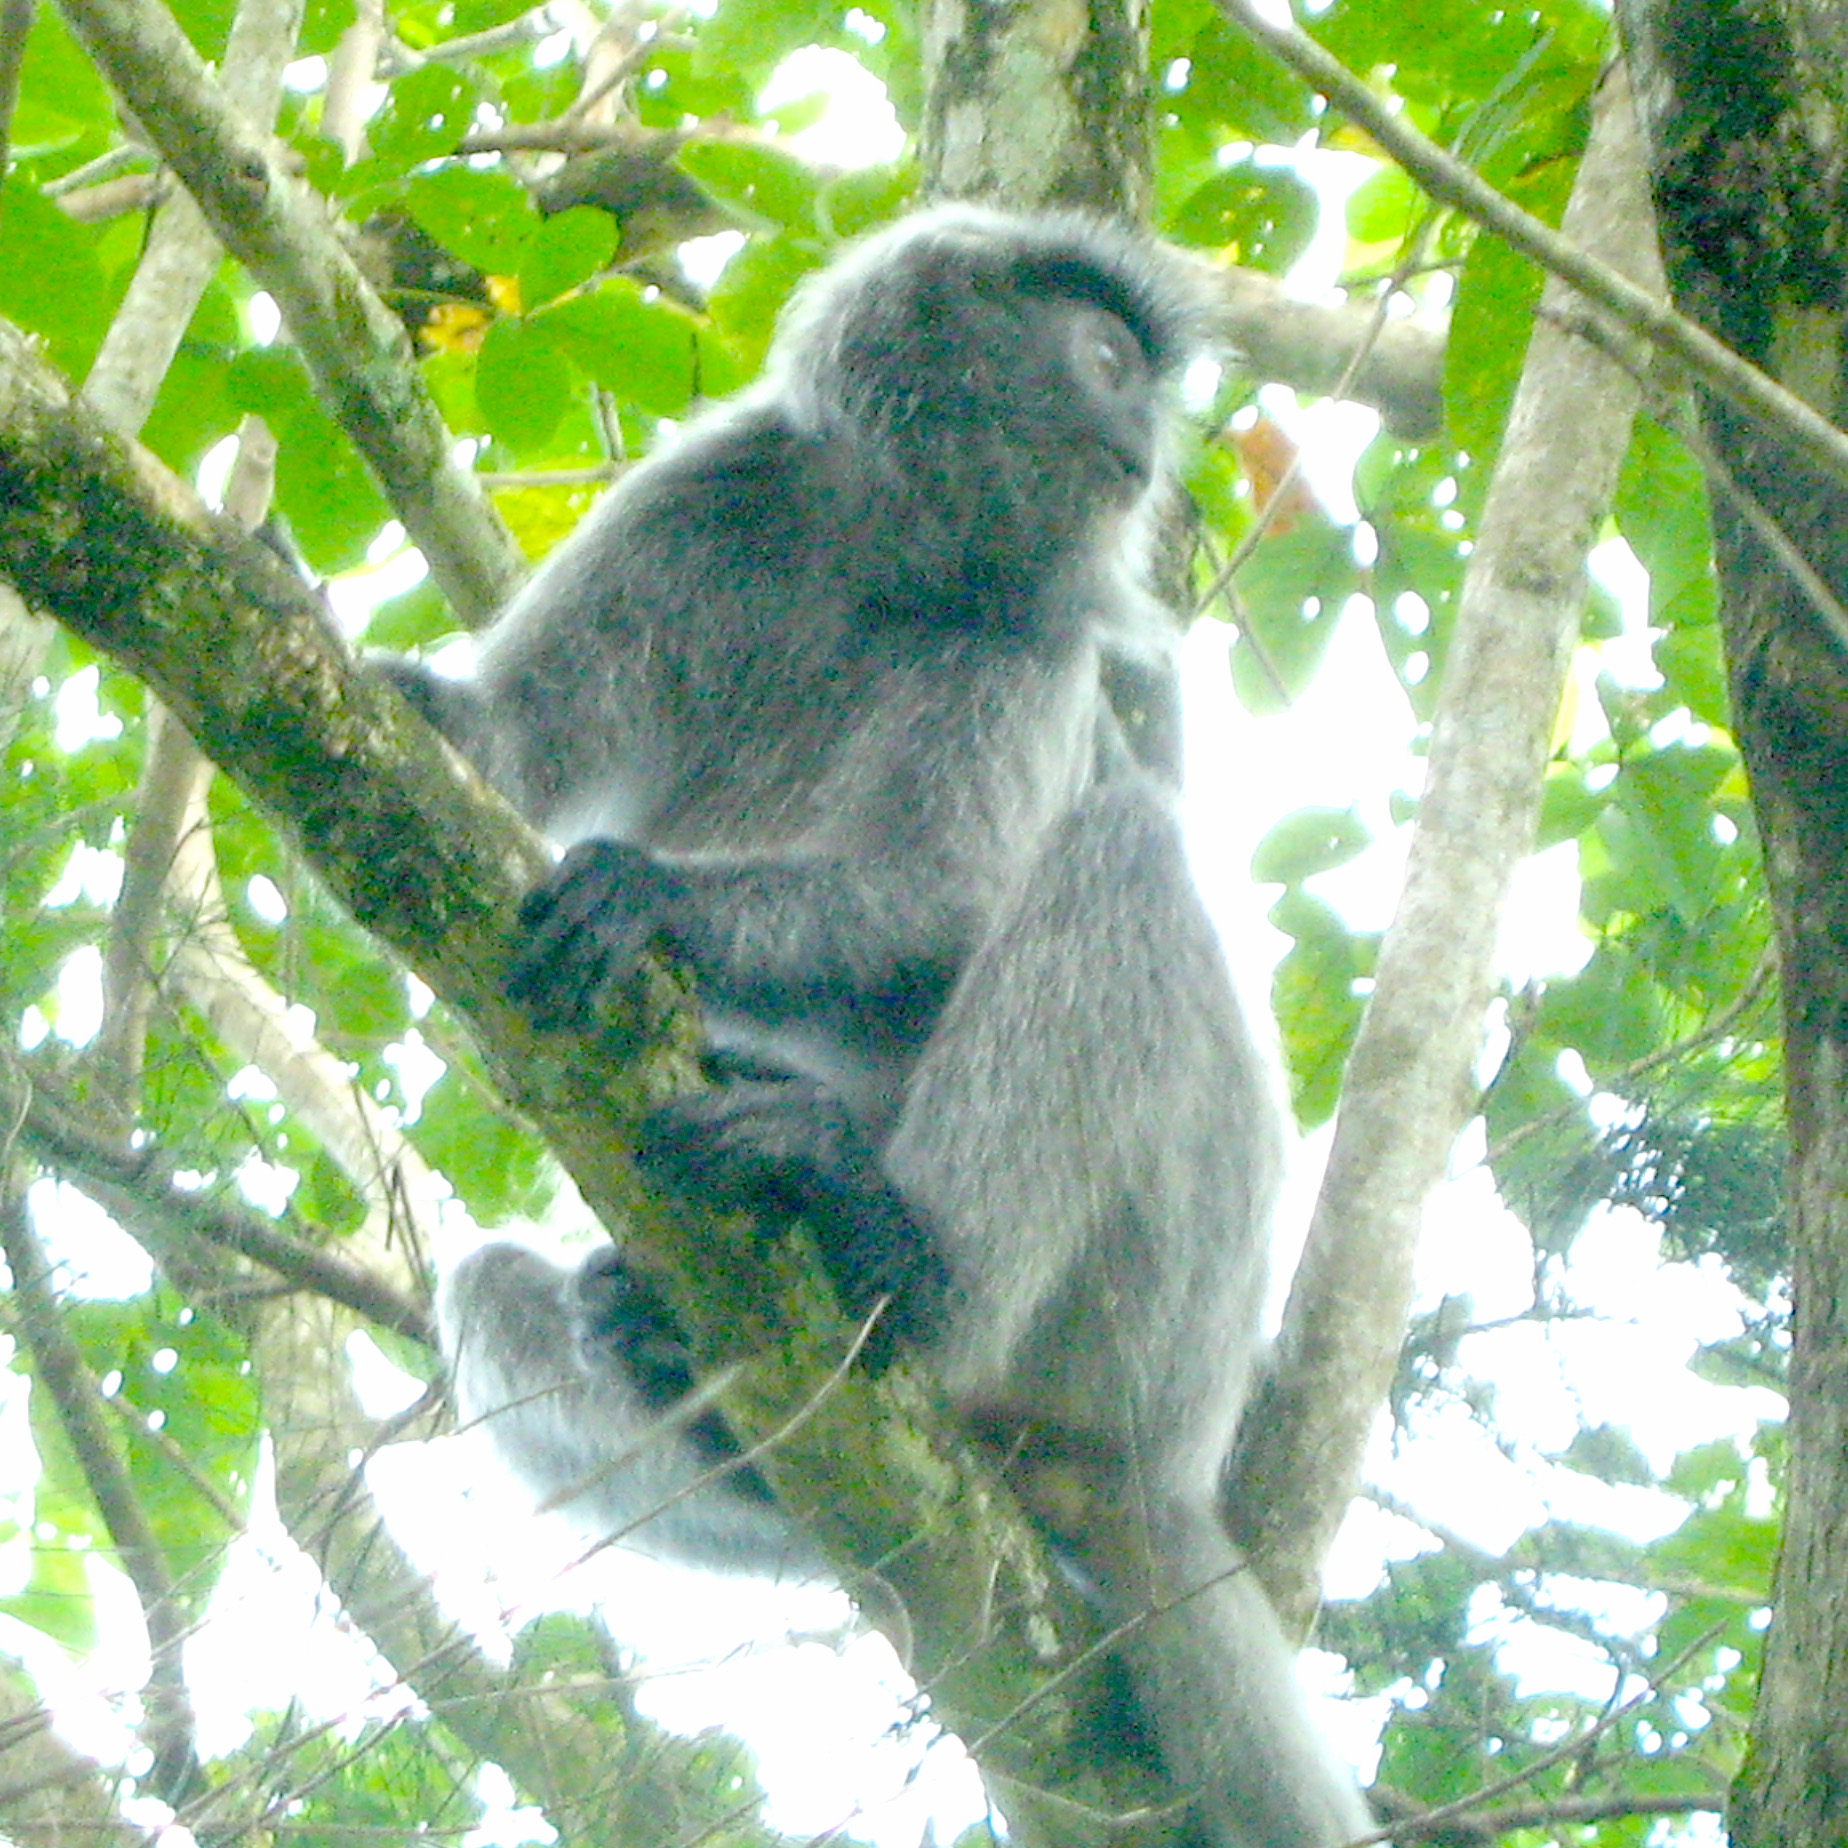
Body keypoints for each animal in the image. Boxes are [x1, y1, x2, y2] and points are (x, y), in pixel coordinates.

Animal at [385, 206, 1378, 1848]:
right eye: (1109, 361)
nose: (1142, 445)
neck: (888, 553)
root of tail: (1165, 1475)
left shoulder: (1031, 639)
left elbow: (944, 907)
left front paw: (653, 899)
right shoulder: (714, 500)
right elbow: (504, 748)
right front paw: (417, 706)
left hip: (1151, 1311)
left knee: (1124, 853)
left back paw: (900, 1248)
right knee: (497, 1289)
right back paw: (694, 1391)